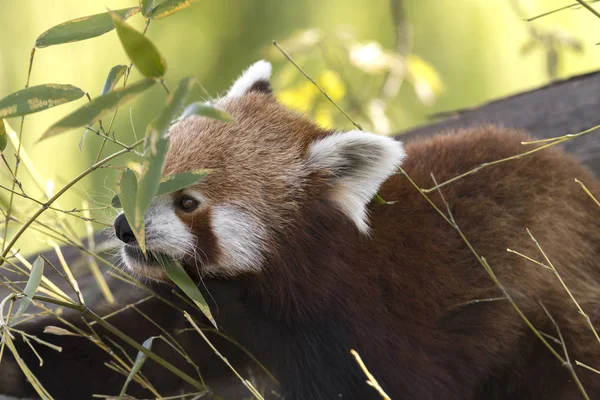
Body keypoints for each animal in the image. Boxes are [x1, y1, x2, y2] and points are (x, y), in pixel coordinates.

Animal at [1, 60, 600, 400]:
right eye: (149, 167)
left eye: (189, 201)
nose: (126, 228)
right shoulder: (210, 313)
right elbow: (125, 346)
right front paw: (16, 358)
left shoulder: (372, 331)